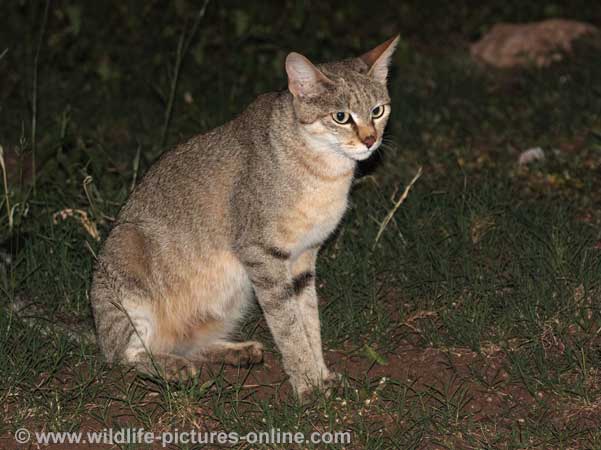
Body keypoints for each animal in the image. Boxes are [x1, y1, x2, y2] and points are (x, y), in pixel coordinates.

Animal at [90, 36, 398, 400]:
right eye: (341, 116)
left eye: (377, 111)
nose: (370, 140)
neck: (325, 172)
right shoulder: (261, 253)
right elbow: (289, 326)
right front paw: (307, 384)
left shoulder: (303, 258)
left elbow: (309, 322)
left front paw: (320, 374)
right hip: (128, 261)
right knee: (128, 355)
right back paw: (172, 367)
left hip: (233, 298)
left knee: (186, 344)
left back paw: (235, 352)